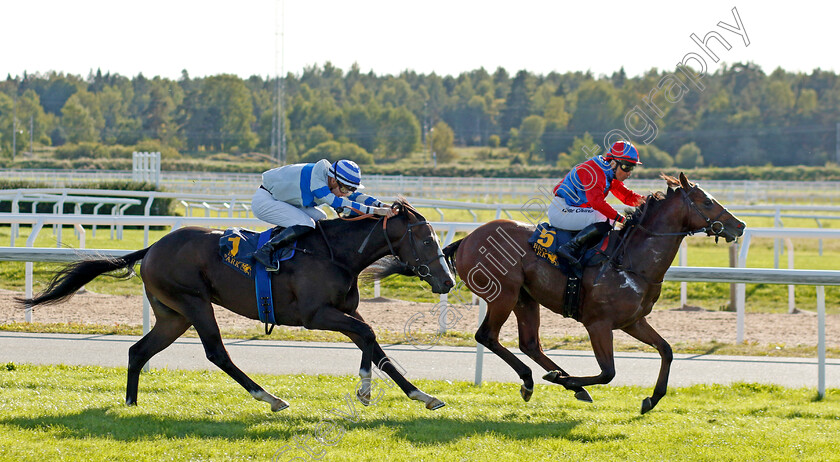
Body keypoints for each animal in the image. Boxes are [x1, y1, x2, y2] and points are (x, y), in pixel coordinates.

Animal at [18, 199, 452, 412]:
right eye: (425, 238)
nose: (447, 280)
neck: (336, 253)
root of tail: (152, 248)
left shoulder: (345, 309)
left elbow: (371, 342)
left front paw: (399, 393)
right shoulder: (315, 316)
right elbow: (367, 334)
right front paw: (389, 392)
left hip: (173, 315)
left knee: (138, 351)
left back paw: (130, 404)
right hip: (194, 302)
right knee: (217, 353)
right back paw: (270, 398)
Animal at [442, 172, 744, 412]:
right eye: (707, 202)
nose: (739, 225)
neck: (631, 260)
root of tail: (467, 239)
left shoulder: (633, 321)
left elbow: (666, 350)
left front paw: (652, 399)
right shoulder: (598, 324)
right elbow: (608, 372)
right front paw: (564, 379)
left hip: (525, 298)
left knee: (529, 344)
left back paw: (557, 382)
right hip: (504, 294)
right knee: (487, 335)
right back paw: (538, 379)